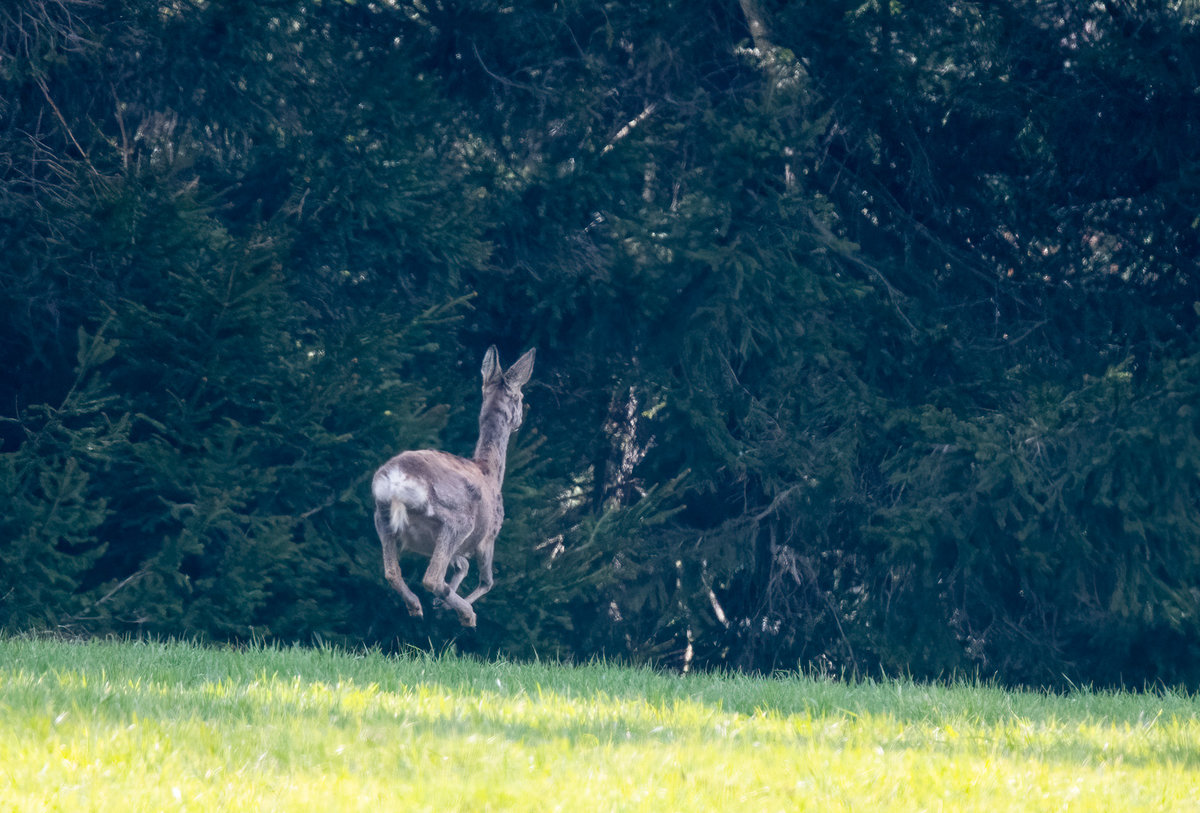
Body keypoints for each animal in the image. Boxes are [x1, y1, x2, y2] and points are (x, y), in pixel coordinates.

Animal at [371, 345, 535, 628]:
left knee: (392, 572)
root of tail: (397, 478)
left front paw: (443, 603)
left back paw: (417, 606)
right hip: (455, 521)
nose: (520, 420)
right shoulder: (488, 535)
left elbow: (462, 566)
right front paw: (454, 608)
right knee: (432, 578)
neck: (490, 471)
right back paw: (466, 614)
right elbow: (487, 581)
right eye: (520, 396)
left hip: (383, 518)